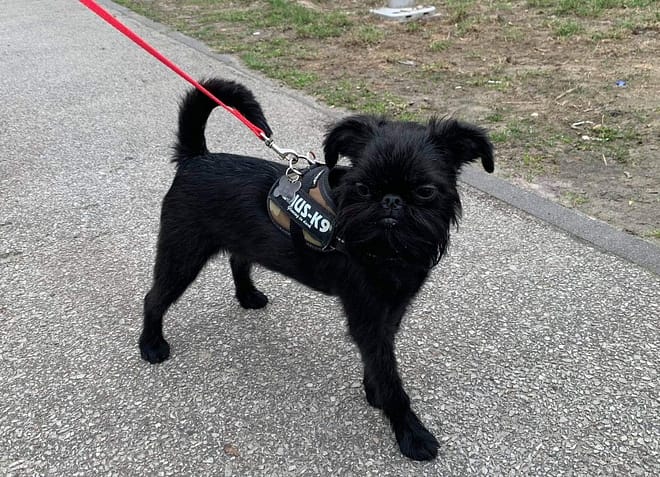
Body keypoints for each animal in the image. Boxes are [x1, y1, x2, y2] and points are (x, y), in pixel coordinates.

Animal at [139, 78, 494, 460]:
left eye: (426, 191)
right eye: (362, 187)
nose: (391, 200)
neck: (388, 249)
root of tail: (197, 158)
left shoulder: (392, 310)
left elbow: (379, 362)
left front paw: (374, 392)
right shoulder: (368, 315)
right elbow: (389, 375)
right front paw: (410, 432)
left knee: (238, 259)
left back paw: (248, 296)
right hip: (182, 255)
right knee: (154, 298)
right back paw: (151, 345)